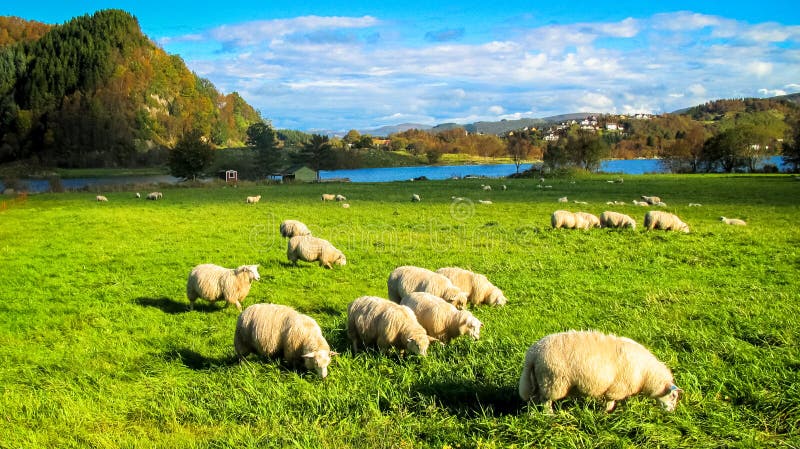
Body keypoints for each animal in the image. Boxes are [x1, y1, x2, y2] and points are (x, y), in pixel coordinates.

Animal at [520, 328, 680, 412]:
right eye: (673, 396)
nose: (671, 412)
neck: (646, 375)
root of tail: (533, 353)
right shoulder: (617, 387)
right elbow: (610, 401)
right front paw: (606, 413)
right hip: (553, 381)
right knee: (546, 400)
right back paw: (549, 415)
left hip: (539, 379)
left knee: (534, 397)